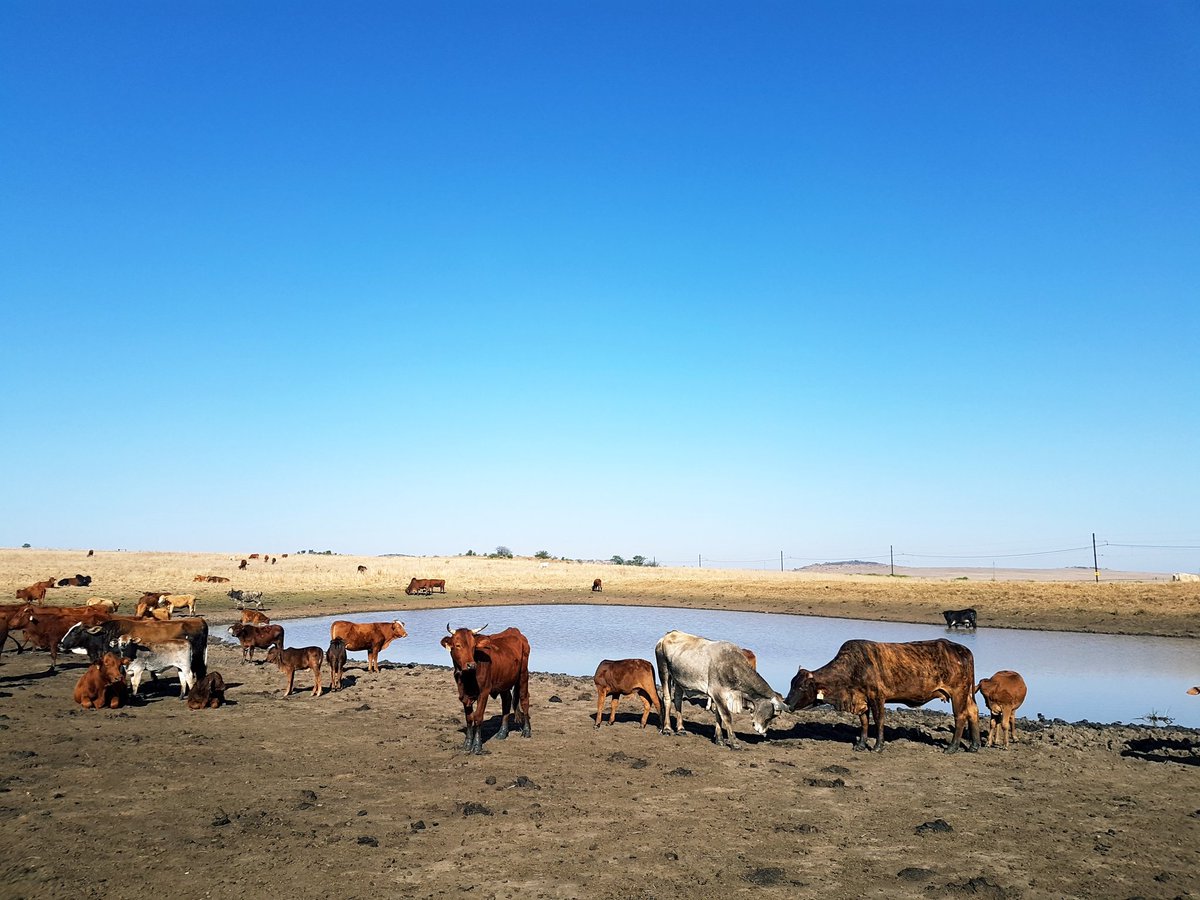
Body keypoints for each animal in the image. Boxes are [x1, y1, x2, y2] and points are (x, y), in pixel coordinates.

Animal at [441, 624, 532, 755]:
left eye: (474, 646)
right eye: (458, 645)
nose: (471, 665)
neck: (468, 678)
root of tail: (515, 631)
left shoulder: (484, 692)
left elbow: (478, 717)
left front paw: (477, 746)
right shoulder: (463, 695)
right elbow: (469, 718)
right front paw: (467, 744)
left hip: (523, 675)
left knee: (524, 700)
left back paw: (527, 731)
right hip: (504, 681)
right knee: (507, 701)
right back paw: (502, 732)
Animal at [655, 630, 786, 749]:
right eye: (773, 714)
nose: (763, 731)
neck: (733, 667)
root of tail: (667, 635)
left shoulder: (719, 696)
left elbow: (719, 716)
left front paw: (719, 739)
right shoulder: (717, 693)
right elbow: (727, 716)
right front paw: (734, 743)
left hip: (679, 680)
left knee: (677, 700)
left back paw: (681, 729)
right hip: (664, 670)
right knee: (667, 699)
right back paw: (667, 729)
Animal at [786, 638, 981, 754]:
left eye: (802, 686)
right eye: (791, 684)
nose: (787, 703)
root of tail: (961, 649)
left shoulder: (877, 697)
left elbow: (879, 720)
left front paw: (878, 746)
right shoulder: (862, 700)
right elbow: (864, 722)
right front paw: (861, 744)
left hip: (958, 693)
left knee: (960, 716)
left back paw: (952, 747)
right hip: (966, 694)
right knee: (973, 711)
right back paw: (974, 745)